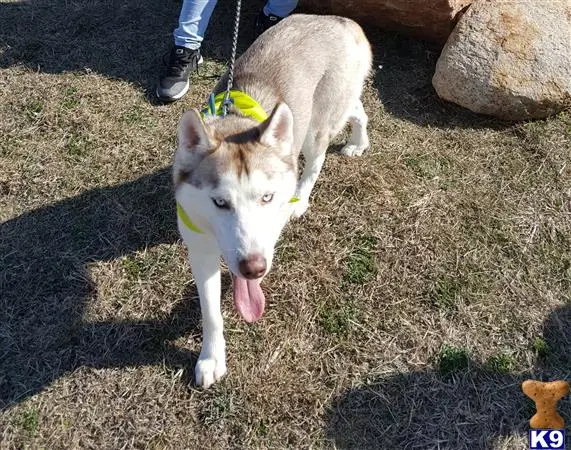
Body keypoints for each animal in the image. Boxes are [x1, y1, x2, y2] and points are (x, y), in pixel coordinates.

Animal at [173, 13, 370, 386]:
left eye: (266, 197)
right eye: (219, 203)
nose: (254, 267)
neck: (234, 121)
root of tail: (340, 20)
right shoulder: (200, 247)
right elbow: (211, 312)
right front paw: (211, 358)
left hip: (312, 130)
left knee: (317, 158)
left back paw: (303, 197)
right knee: (357, 109)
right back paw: (358, 141)